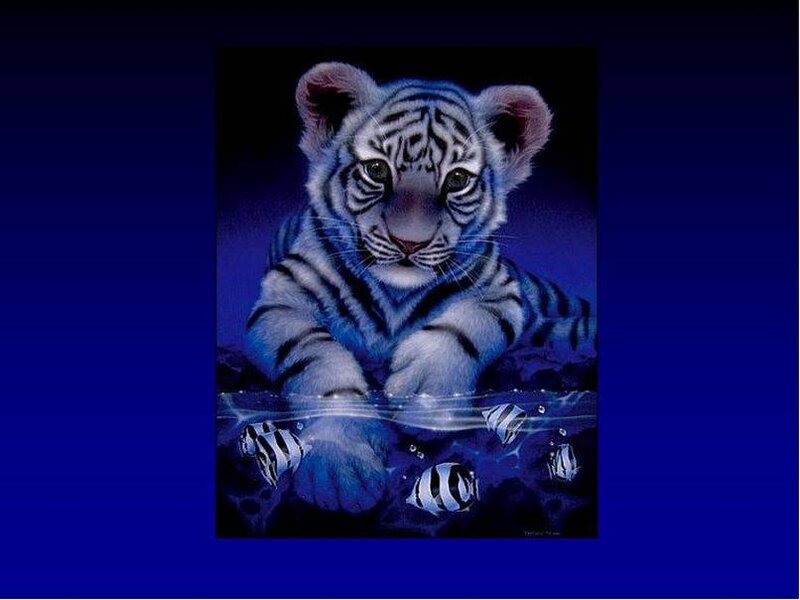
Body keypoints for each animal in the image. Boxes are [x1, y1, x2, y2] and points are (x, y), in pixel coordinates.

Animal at [244, 62, 596, 513]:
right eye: (377, 170)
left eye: (458, 179)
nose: (409, 242)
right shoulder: (280, 299)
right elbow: (317, 362)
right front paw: (339, 465)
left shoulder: (500, 291)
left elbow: (467, 325)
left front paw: (427, 396)